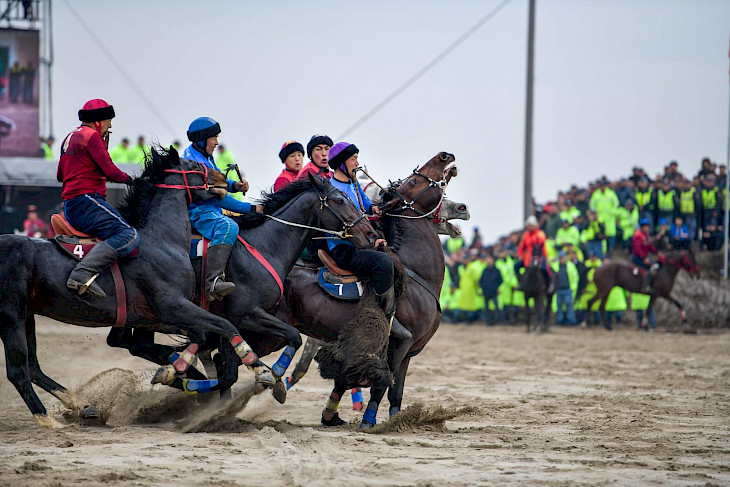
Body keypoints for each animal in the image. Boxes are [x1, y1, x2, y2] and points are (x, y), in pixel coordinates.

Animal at [0, 147, 265, 427]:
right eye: (194, 164)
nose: (225, 179)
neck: (162, 241)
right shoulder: (173, 307)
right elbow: (223, 326)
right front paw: (257, 368)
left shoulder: (158, 317)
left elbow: (199, 337)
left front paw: (179, 374)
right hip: (11, 317)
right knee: (18, 372)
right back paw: (49, 421)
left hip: (28, 316)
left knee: (33, 368)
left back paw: (83, 406)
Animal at [108, 175, 379, 396]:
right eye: (339, 200)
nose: (371, 234)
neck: (265, 245)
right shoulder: (246, 314)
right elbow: (290, 339)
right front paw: (272, 376)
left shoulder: (236, 323)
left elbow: (230, 370)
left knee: (129, 342)